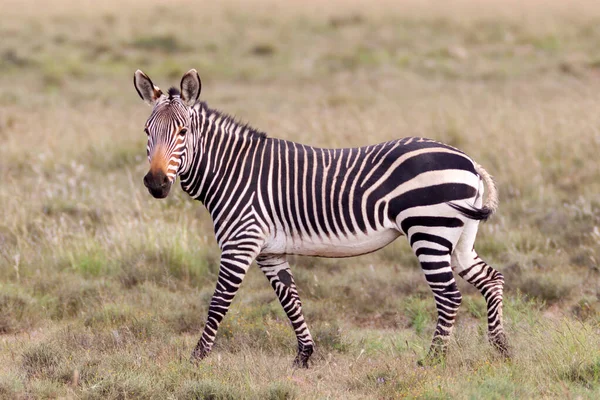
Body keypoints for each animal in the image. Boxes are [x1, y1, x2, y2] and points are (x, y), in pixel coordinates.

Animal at [132, 68, 510, 366]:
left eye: (183, 132)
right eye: (147, 132)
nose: (156, 183)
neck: (231, 171)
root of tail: (468, 160)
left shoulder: (241, 243)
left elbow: (218, 303)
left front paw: (196, 359)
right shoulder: (270, 251)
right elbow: (291, 301)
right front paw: (304, 355)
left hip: (429, 231)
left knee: (449, 295)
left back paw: (433, 359)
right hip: (459, 237)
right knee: (491, 279)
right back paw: (501, 349)